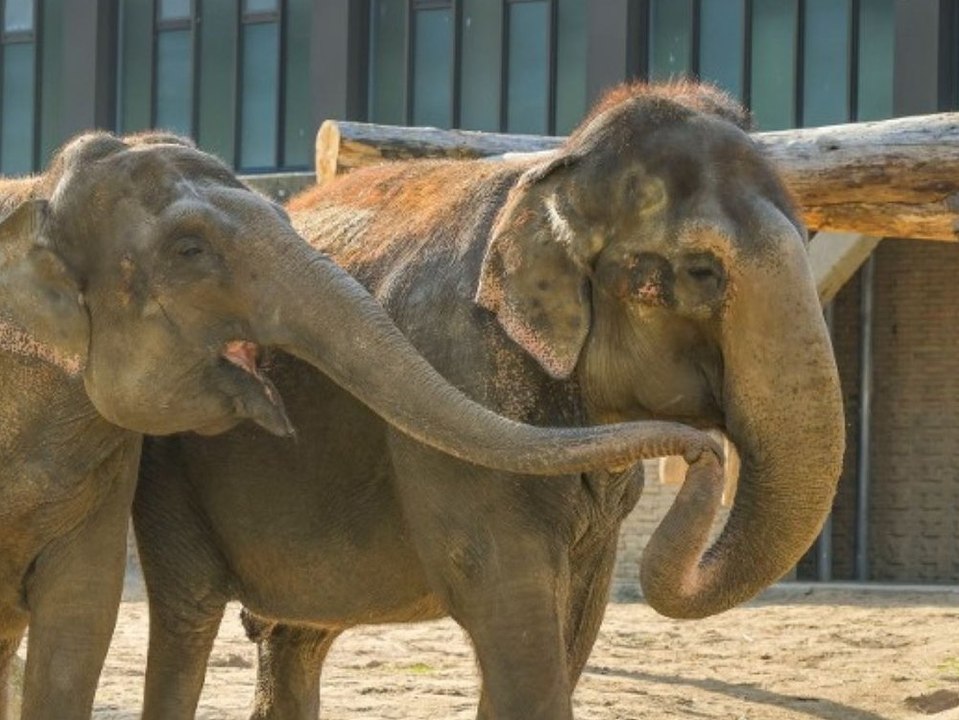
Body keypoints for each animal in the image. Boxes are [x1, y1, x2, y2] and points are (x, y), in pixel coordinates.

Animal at [132, 82, 844, 719]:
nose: (703, 456)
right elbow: (507, 605)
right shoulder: (456, 375)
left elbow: (574, 618)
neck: (550, 175)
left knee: (294, 637)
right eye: (702, 274)